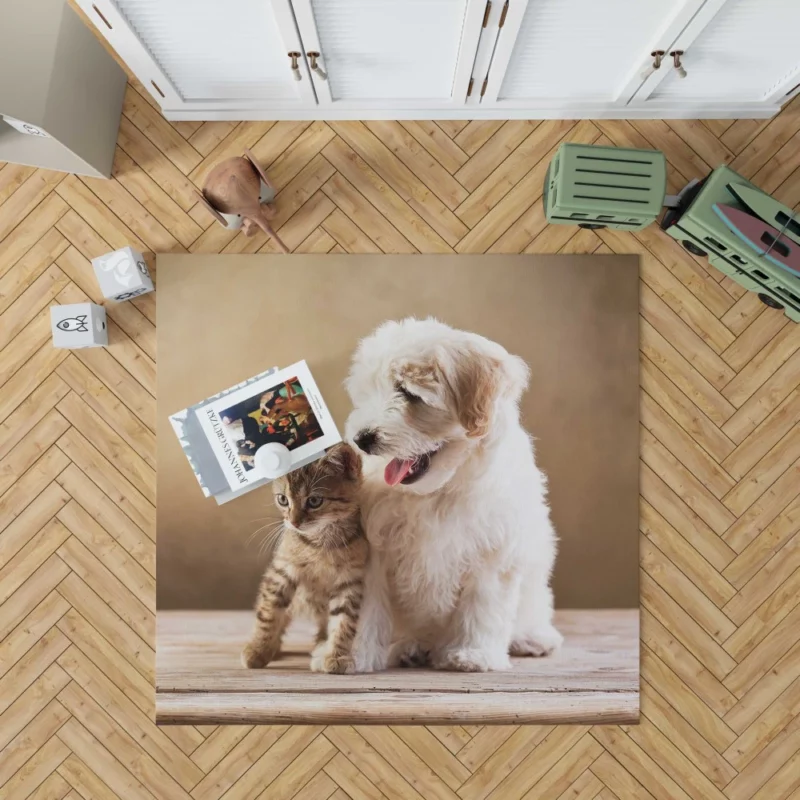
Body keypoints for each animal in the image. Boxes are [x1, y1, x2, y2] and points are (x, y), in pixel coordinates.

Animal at [241, 444, 368, 676]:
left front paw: (336, 655)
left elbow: (344, 621)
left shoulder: (349, 581)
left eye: (314, 501)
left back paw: (321, 642)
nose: (293, 522)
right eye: (282, 499)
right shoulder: (281, 572)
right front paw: (258, 649)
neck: (320, 543)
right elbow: (268, 613)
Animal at [346, 316, 564, 672]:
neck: (436, 491)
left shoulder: (493, 549)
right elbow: (365, 606)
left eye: (408, 393)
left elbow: (482, 604)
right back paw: (410, 647)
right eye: (368, 392)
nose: (362, 438)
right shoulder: (371, 546)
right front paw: (350, 653)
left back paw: (531, 637)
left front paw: (472, 654)